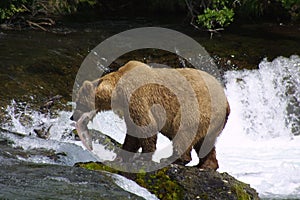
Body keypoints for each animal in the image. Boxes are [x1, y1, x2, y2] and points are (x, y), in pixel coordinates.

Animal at [72, 61, 230, 170]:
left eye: (79, 102)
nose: (72, 117)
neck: (116, 92)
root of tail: (227, 101)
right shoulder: (128, 109)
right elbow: (133, 134)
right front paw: (120, 157)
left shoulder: (136, 97)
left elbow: (146, 127)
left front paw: (142, 158)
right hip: (213, 120)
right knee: (206, 142)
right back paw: (207, 165)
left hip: (196, 108)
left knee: (183, 131)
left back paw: (172, 159)